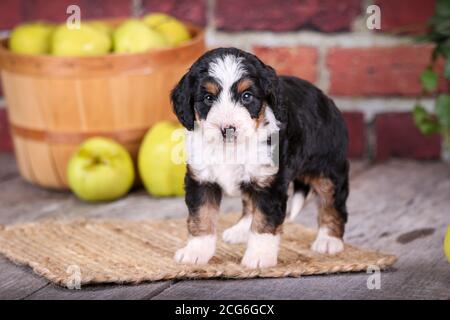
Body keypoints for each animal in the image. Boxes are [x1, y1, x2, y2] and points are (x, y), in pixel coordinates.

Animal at [171, 47, 350, 268]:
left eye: (247, 96)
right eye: (208, 98)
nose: (228, 129)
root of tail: (325, 98)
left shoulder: (269, 182)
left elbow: (264, 221)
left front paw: (259, 256)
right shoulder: (202, 179)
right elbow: (201, 216)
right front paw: (196, 252)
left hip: (328, 168)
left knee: (333, 203)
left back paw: (328, 240)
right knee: (250, 203)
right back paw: (240, 231)